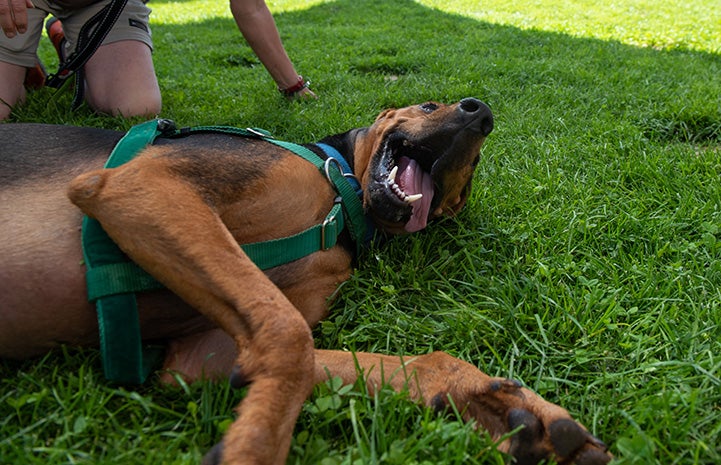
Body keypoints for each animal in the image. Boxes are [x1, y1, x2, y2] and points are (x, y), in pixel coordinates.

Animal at [0, 99, 608, 464]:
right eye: (430, 106)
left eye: (476, 165)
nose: (481, 114)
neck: (341, 191)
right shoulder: (142, 186)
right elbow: (289, 336)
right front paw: (254, 446)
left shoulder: (203, 355)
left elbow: (387, 362)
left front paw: (503, 409)